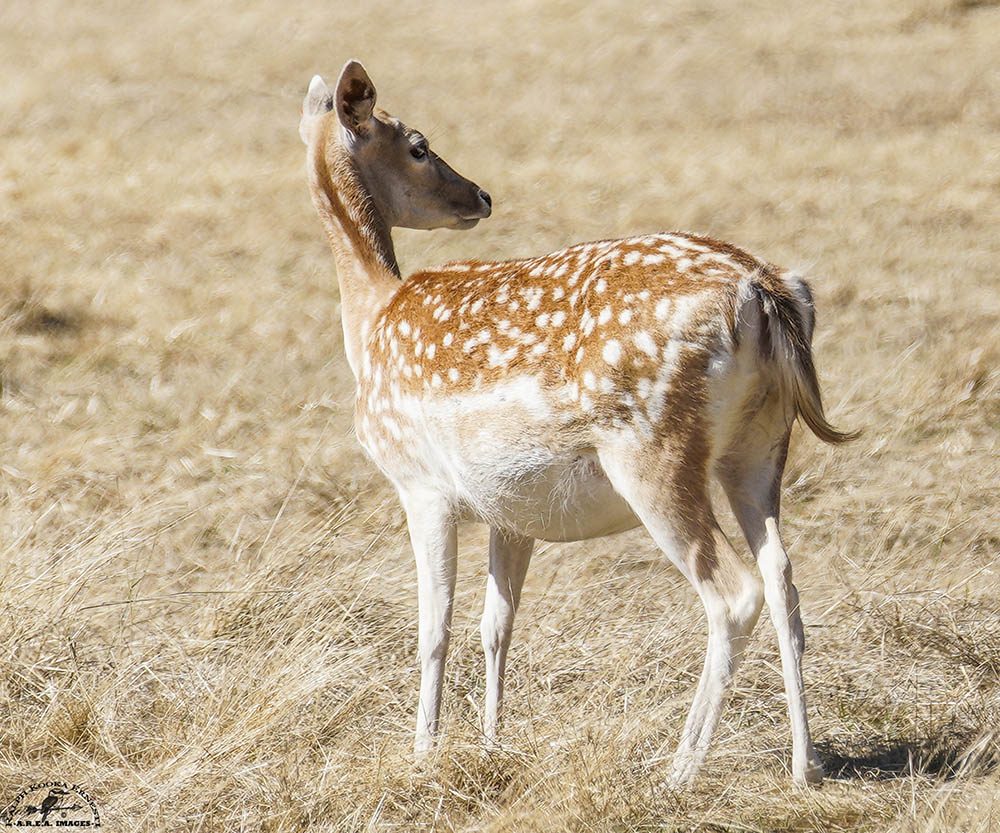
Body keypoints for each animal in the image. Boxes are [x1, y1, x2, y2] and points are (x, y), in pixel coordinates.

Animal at [300, 60, 856, 788]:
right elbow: (495, 623)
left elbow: (433, 627)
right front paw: (490, 746)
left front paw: (423, 753)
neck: (369, 322)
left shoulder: (419, 483)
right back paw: (803, 766)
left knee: (735, 593)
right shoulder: (508, 508)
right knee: (785, 579)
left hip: (653, 450)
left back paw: (679, 769)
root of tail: (767, 291)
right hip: (760, 447)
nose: (480, 195)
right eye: (419, 146)